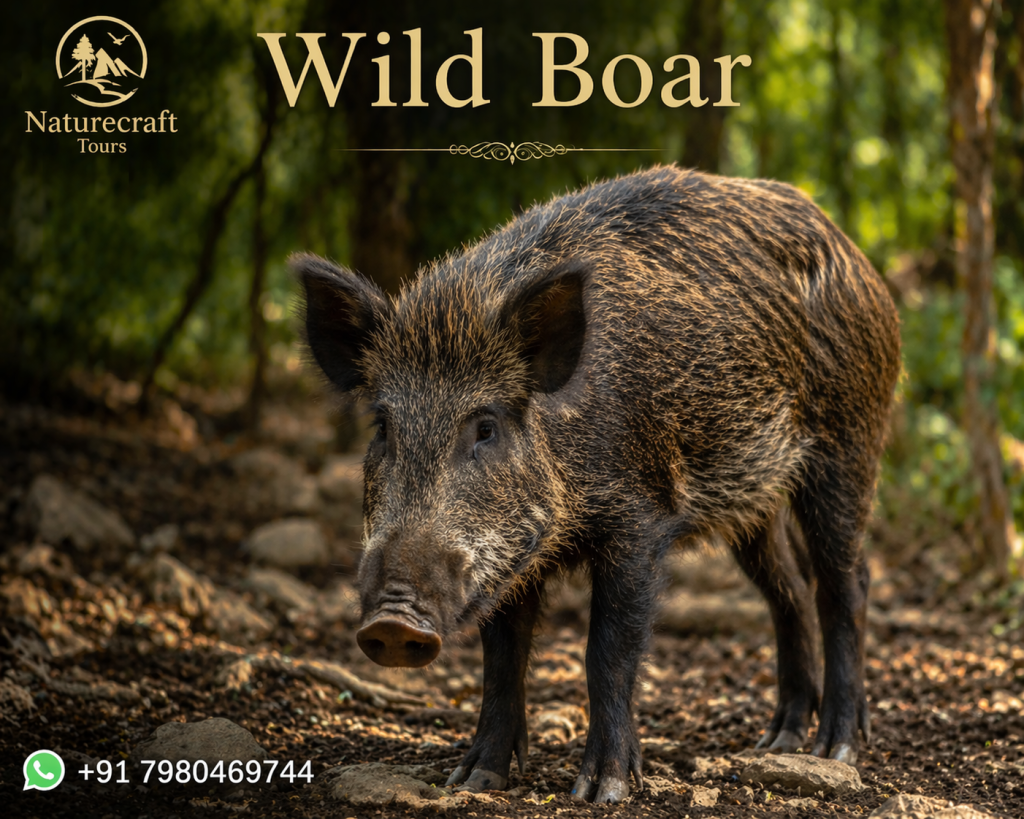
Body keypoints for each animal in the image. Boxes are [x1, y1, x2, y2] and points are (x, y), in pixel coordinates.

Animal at [295, 165, 901, 803]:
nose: (392, 622)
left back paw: (835, 747)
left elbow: (607, 650)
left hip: (848, 446)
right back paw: (777, 741)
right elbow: (502, 658)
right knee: (789, 590)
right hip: (753, 503)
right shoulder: (515, 559)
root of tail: (859, 260)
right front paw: (473, 778)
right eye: (383, 426)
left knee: (846, 583)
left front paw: (602, 791)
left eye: (485, 427)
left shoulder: (640, 521)